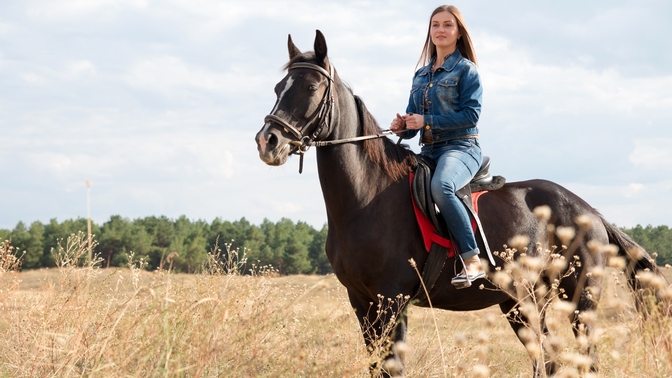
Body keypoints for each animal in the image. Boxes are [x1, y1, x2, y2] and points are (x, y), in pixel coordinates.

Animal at [255, 31, 664, 376]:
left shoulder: (393, 301)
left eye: (310, 87)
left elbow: (392, 368)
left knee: (584, 359)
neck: (365, 199)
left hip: (579, 302)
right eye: (277, 87)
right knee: (548, 359)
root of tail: (591, 213)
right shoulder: (362, 302)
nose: (268, 141)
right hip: (523, 303)